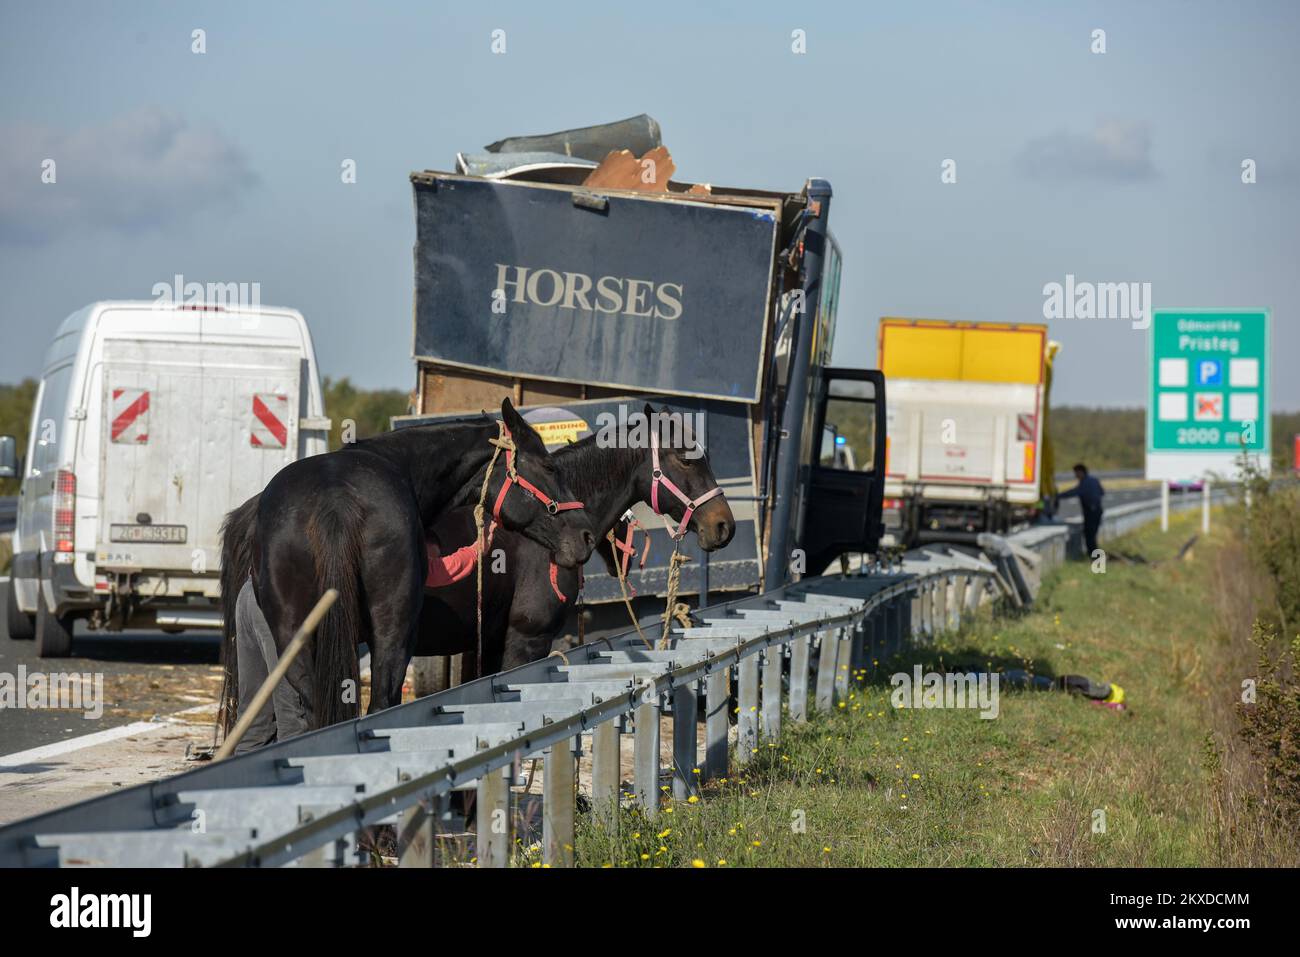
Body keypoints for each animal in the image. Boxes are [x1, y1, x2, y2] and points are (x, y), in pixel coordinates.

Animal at [220, 400, 592, 728]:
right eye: (549, 466)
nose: (585, 535)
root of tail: (335, 499)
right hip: (394, 632)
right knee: (382, 702)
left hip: (294, 638)